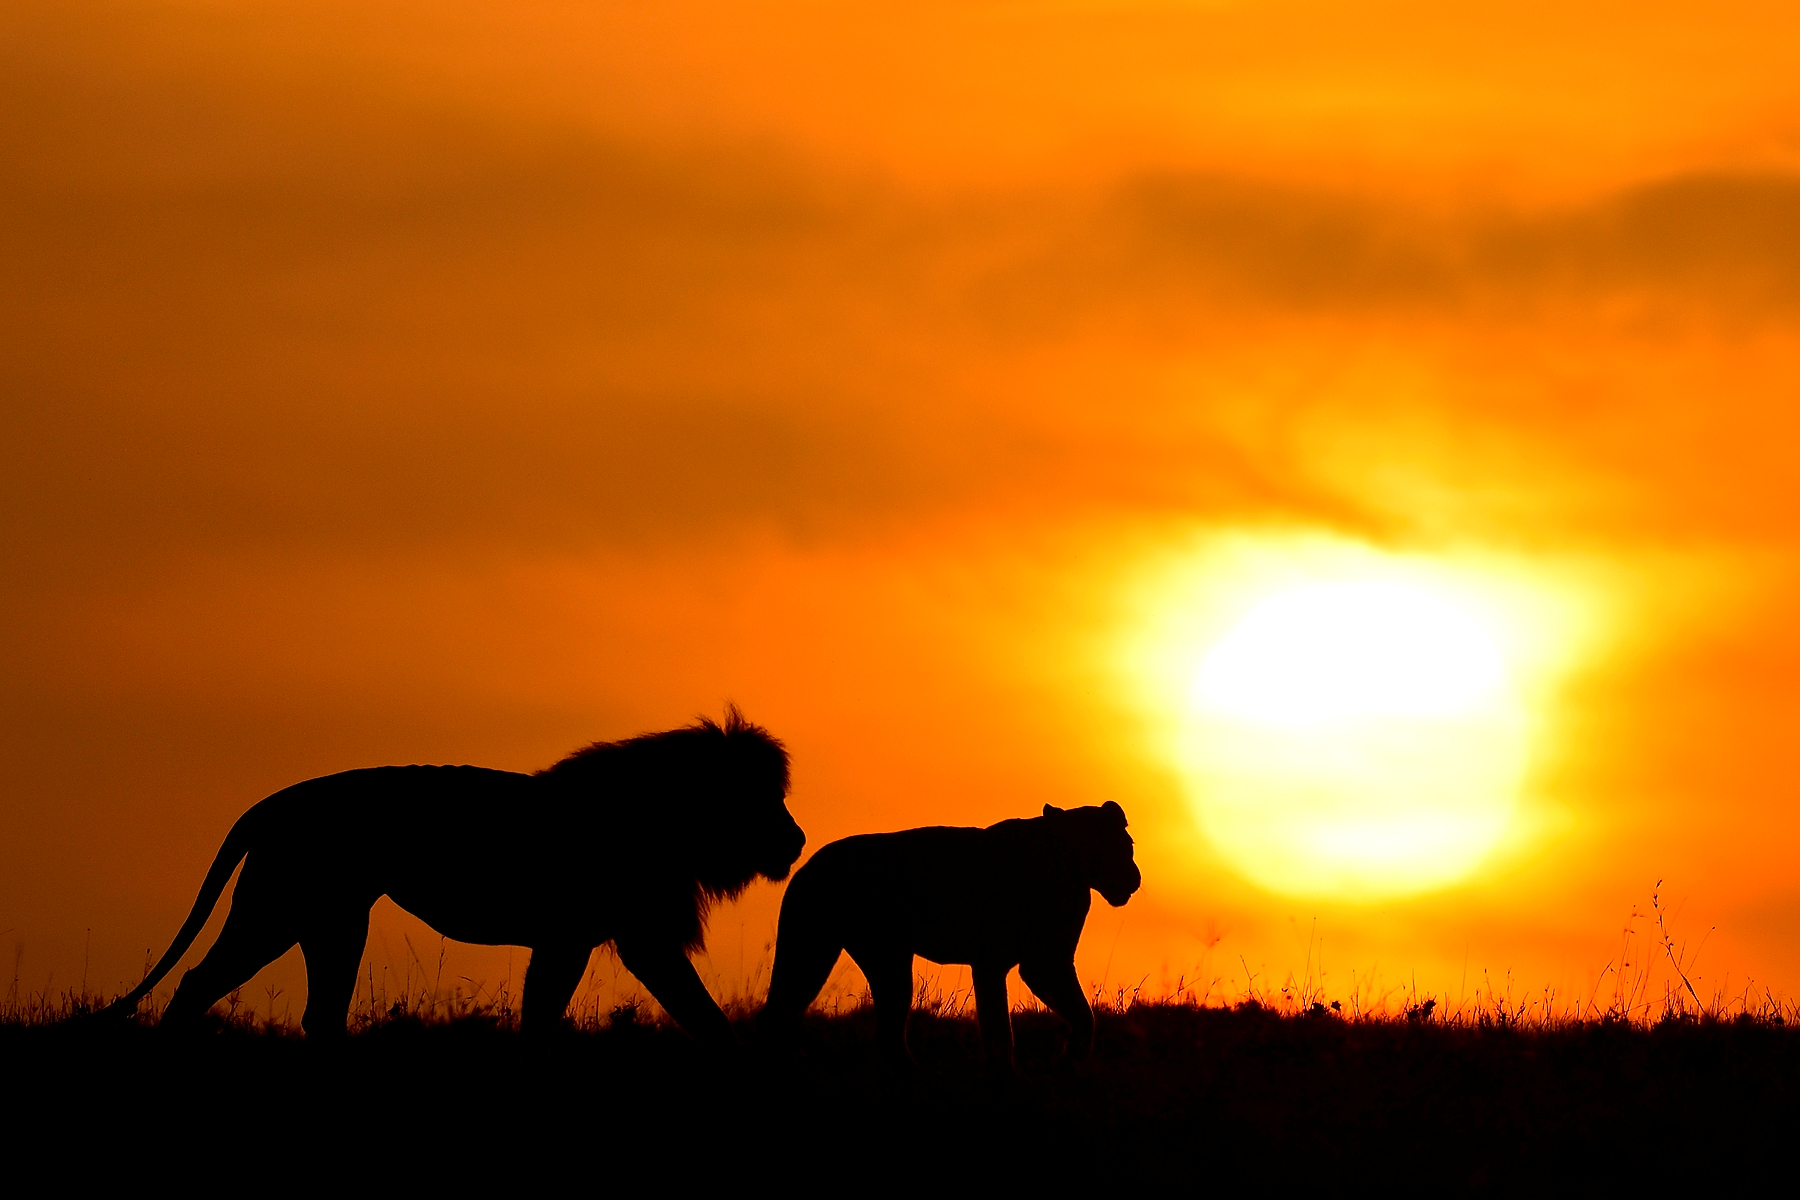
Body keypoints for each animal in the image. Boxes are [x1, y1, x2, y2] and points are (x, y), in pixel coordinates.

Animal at [98, 705, 802, 1043]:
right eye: (762, 800)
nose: (796, 840)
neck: (663, 814)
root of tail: (277, 801)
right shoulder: (624, 937)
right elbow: (697, 1009)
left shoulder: (578, 938)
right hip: (278, 908)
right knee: (198, 981)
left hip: (333, 920)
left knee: (319, 1014)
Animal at [759, 802, 1137, 1065]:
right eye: (1121, 845)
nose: (1135, 877)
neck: (1070, 866)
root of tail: (809, 865)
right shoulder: (1014, 964)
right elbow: (1002, 1027)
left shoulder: (1042, 962)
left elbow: (1079, 1014)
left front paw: (1068, 1060)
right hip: (835, 955)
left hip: (851, 958)